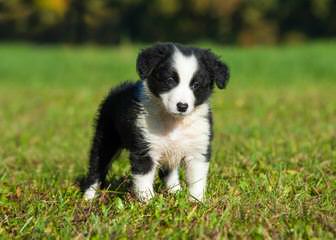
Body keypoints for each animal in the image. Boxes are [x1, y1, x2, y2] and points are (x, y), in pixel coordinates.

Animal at [83, 42, 230, 202]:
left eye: (196, 85)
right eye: (170, 80)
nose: (182, 106)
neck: (174, 121)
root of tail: (117, 90)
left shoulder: (198, 147)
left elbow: (197, 179)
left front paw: (196, 201)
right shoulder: (145, 148)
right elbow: (144, 179)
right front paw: (149, 202)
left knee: (170, 172)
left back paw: (175, 192)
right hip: (106, 137)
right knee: (97, 165)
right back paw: (88, 197)